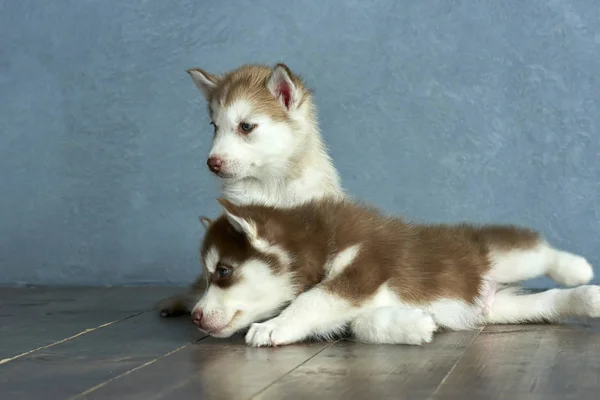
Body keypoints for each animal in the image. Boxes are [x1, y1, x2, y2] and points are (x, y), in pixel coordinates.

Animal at [191, 198, 596, 346]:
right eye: (209, 275)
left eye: (223, 271)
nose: (194, 316)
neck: (320, 245)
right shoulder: (357, 294)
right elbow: (358, 324)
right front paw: (413, 325)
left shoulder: (364, 265)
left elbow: (312, 300)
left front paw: (273, 326)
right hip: (501, 309)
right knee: (547, 302)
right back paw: (588, 299)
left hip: (499, 255)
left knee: (539, 250)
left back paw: (578, 269)